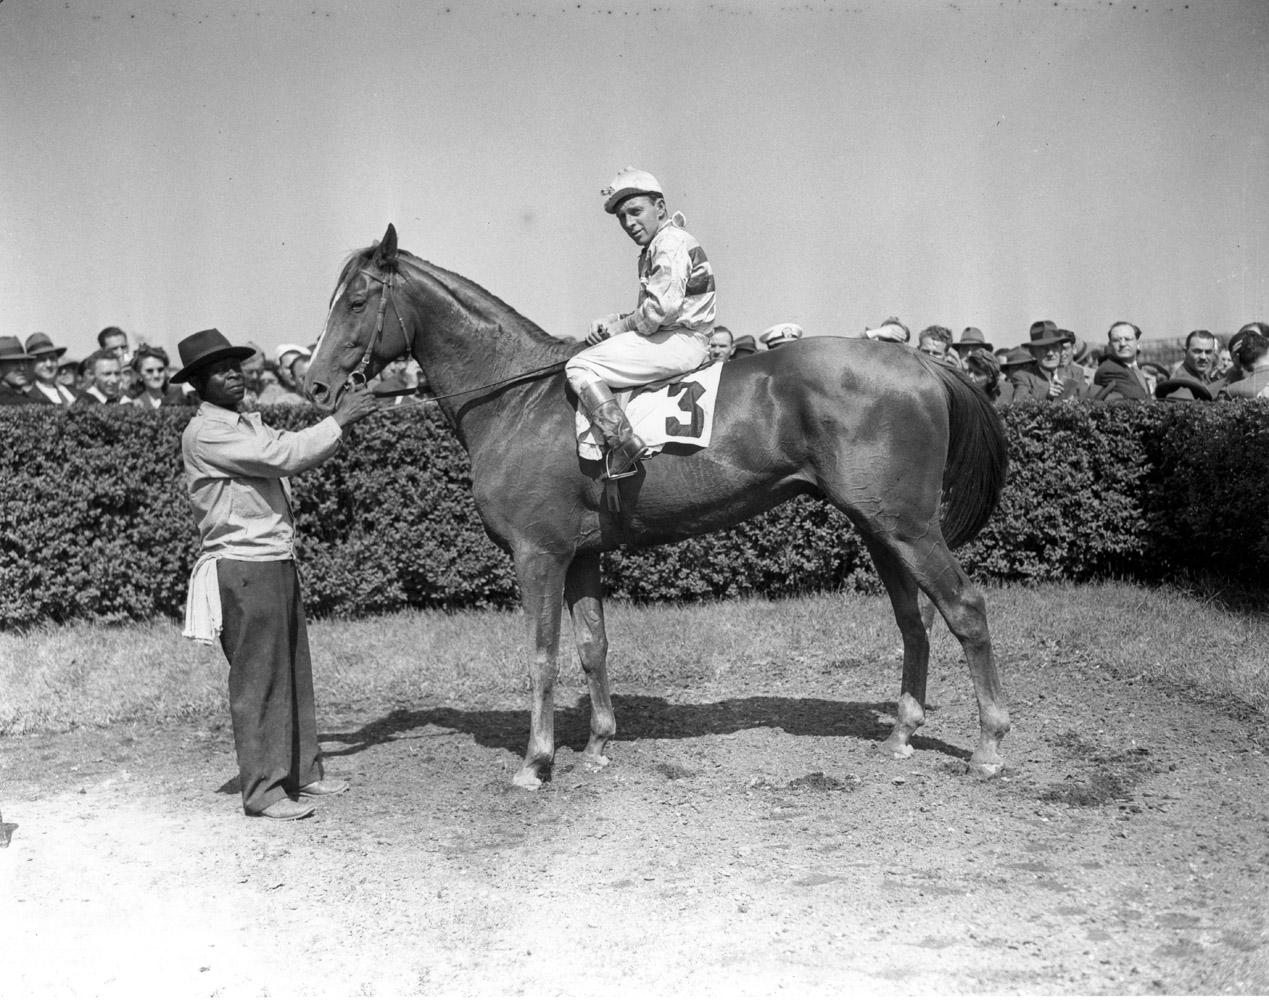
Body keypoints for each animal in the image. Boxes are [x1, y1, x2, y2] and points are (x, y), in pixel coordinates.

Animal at [304, 224, 1010, 786]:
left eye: (358, 299)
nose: (314, 387)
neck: (517, 400)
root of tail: (918, 361)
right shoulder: (580, 556)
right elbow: (592, 646)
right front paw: (597, 745)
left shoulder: (539, 555)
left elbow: (541, 655)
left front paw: (536, 762)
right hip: (878, 526)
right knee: (914, 620)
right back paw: (901, 734)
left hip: (908, 526)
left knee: (965, 609)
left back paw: (989, 745)